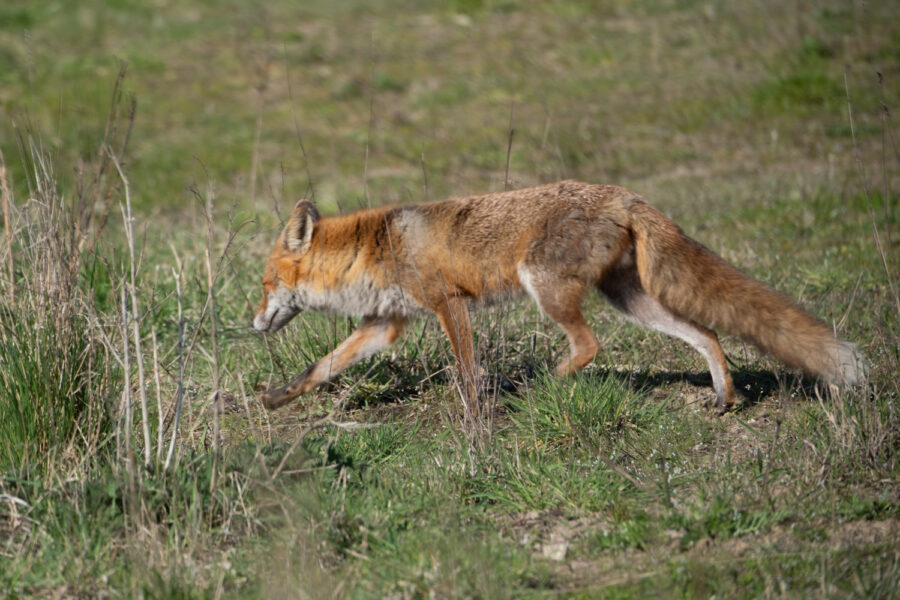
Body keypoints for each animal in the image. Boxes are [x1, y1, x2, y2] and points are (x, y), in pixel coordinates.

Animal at [253, 180, 863, 413]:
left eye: (262, 285)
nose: (253, 323)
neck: (370, 250)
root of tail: (621, 193)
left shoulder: (449, 302)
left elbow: (467, 368)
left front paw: (476, 413)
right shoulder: (384, 324)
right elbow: (322, 367)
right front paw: (278, 397)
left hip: (544, 287)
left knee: (589, 347)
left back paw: (543, 386)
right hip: (631, 302)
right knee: (707, 332)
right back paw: (723, 396)